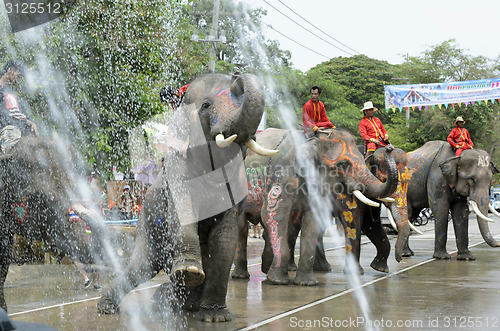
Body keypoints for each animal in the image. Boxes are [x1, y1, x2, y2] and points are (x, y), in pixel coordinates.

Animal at [97, 73, 278, 324]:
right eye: (206, 105)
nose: (238, 75)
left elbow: (225, 238)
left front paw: (215, 318)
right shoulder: (176, 172)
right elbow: (184, 212)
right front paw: (189, 273)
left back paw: (184, 304)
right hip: (147, 227)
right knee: (142, 266)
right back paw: (109, 307)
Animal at [234, 128, 398, 286]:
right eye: (343, 164)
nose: (389, 147)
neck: (313, 141)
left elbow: (312, 221)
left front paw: (306, 283)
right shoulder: (281, 176)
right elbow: (273, 214)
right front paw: (278, 281)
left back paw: (266, 270)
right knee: (242, 226)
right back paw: (241, 276)